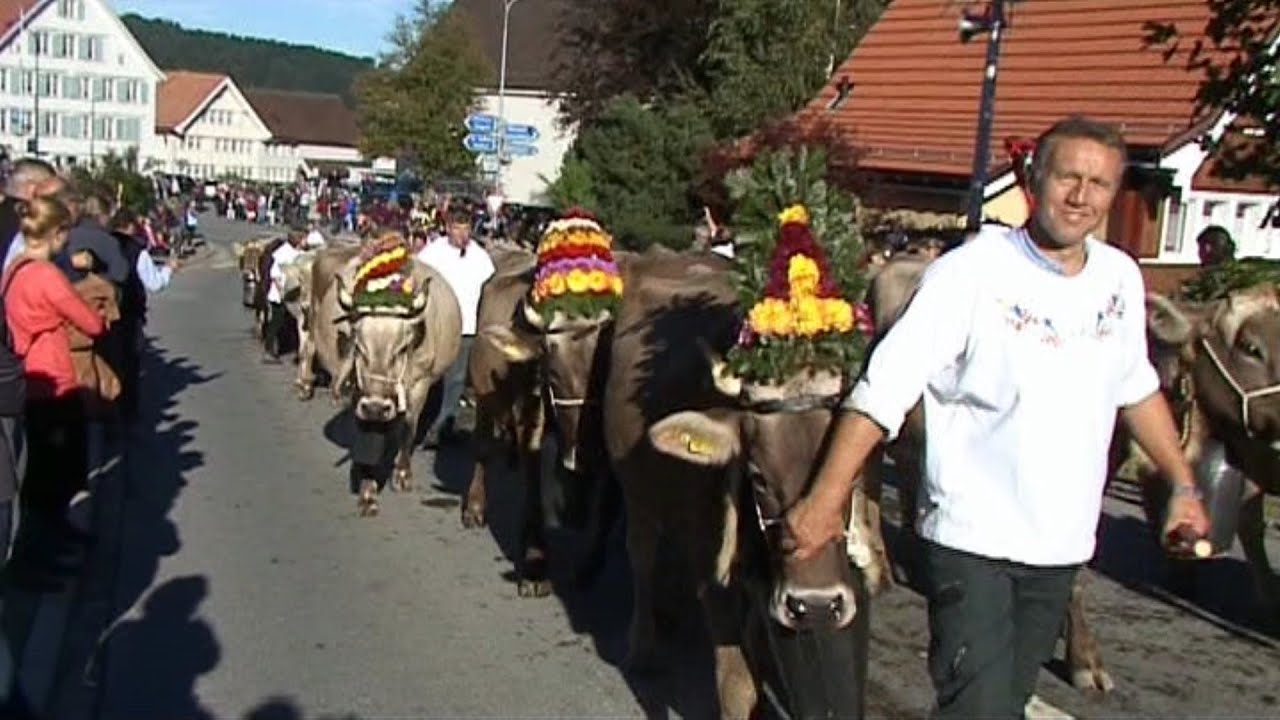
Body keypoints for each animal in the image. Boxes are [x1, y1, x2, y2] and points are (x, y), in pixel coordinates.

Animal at [332, 254, 463, 516]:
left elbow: (408, 428)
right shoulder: (363, 392)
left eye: (401, 348)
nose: (376, 408)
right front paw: (368, 491)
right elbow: (369, 434)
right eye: (359, 347)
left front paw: (402, 473)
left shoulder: (419, 384)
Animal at [603, 250, 872, 718]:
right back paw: (644, 646)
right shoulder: (717, 582)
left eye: (851, 474)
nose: (818, 605)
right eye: (757, 475)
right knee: (642, 556)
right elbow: (737, 684)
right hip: (637, 494)